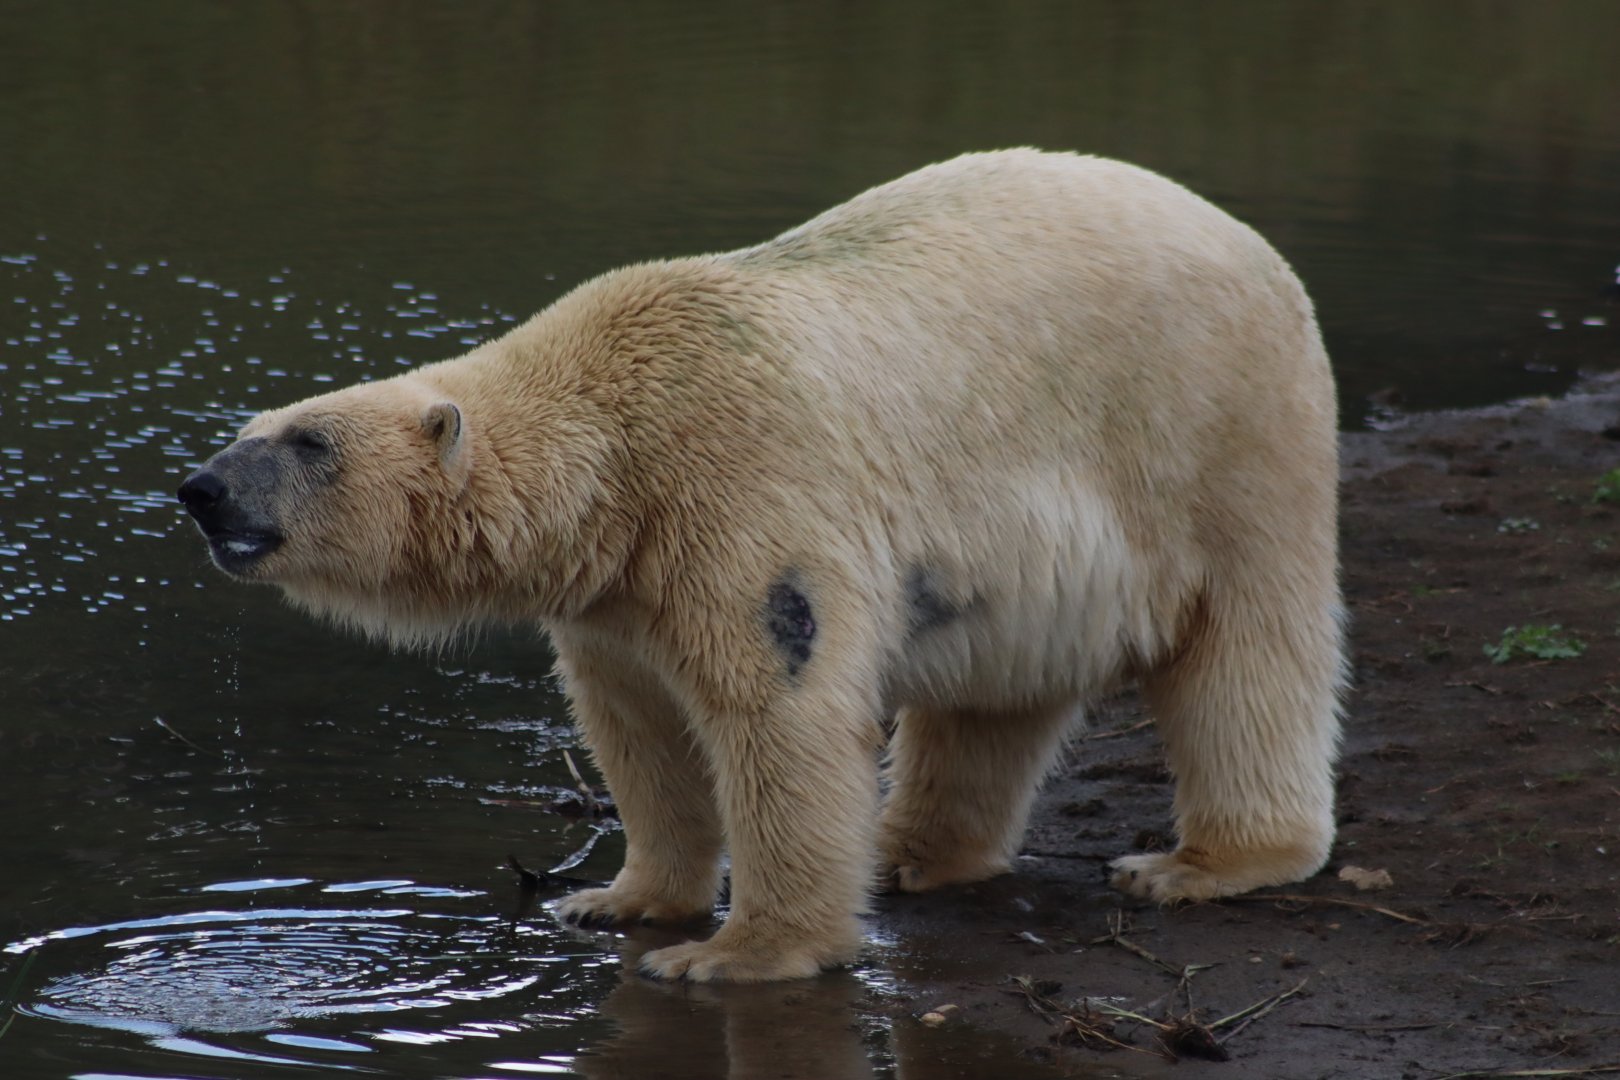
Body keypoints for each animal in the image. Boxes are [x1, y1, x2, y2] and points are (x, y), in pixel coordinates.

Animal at [179, 149, 1344, 984]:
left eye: (308, 444)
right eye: (249, 427)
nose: (201, 490)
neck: (617, 432)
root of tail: (1246, 238)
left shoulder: (740, 492)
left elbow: (779, 707)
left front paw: (734, 956)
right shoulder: (618, 584)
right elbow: (638, 727)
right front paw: (618, 898)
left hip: (1220, 436)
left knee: (1247, 650)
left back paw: (1201, 864)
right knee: (993, 696)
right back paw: (909, 849)